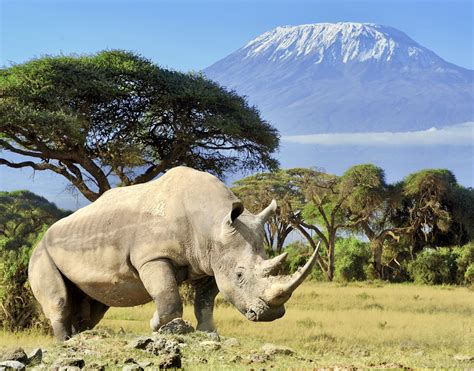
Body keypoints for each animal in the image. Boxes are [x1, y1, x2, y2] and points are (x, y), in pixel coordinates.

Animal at [28, 167, 318, 342]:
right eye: (239, 275)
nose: (271, 314)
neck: (213, 223)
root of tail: (42, 237)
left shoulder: (210, 262)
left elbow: (205, 301)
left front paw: (208, 332)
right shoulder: (153, 257)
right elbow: (167, 294)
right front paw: (163, 327)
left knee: (94, 305)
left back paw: (78, 338)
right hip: (41, 253)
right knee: (60, 301)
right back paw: (64, 343)